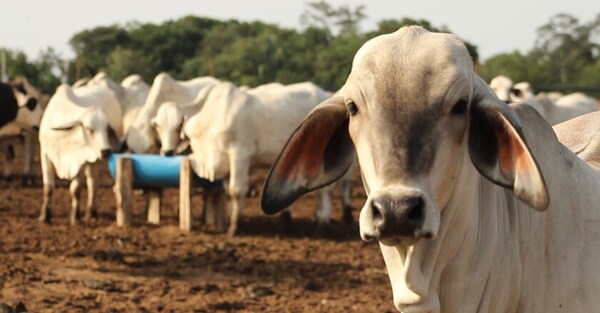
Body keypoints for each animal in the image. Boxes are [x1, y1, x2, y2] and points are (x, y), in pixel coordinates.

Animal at [38, 84, 123, 223]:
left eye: (107, 129)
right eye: (89, 129)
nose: (106, 151)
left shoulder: (80, 160)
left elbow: (76, 189)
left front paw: (75, 217)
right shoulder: (45, 154)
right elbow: (48, 187)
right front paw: (44, 216)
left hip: (92, 160)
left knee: (93, 183)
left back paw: (91, 213)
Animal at [186, 81, 356, 235]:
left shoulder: (239, 154)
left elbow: (236, 191)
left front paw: (234, 227)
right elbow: (228, 192)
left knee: (327, 191)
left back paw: (322, 224)